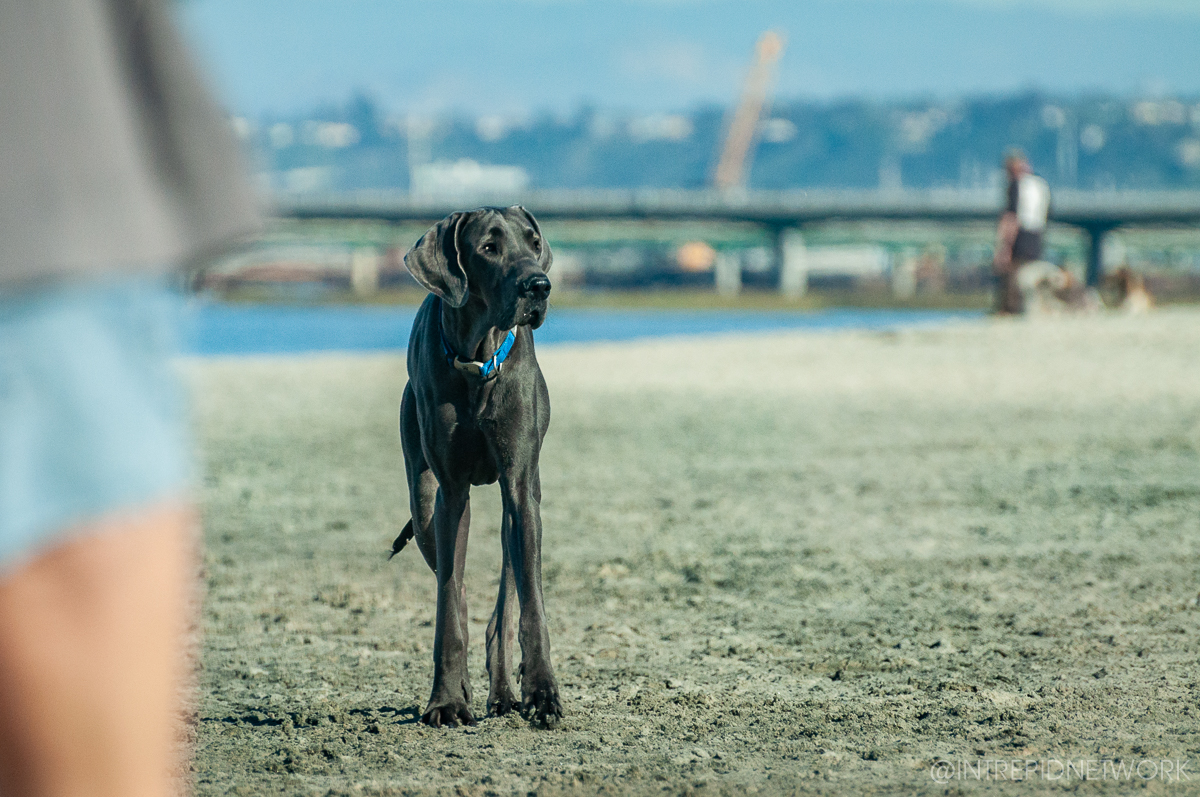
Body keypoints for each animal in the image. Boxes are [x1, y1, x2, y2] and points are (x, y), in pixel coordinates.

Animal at [391, 205, 564, 729]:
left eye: (533, 243)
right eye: (488, 248)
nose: (539, 285)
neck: (478, 360)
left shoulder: (521, 487)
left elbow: (530, 606)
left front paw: (543, 693)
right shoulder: (450, 492)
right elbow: (449, 602)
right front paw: (446, 699)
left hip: (520, 504)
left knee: (506, 600)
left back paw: (505, 693)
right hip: (423, 503)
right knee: (457, 587)